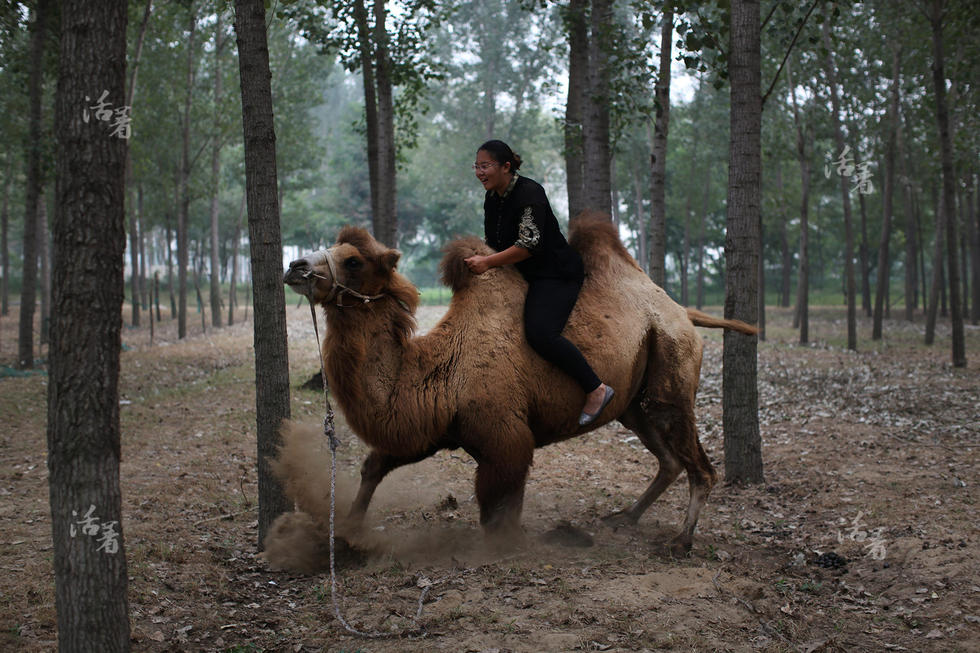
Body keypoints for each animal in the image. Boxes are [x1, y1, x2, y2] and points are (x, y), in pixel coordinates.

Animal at [284, 211, 756, 552]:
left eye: (353, 260)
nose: (295, 265)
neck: (440, 368)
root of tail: (680, 309)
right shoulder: (430, 427)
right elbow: (374, 465)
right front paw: (346, 532)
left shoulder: (505, 438)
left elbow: (497, 507)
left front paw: (515, 545)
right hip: (632, 402)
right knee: (668, 458)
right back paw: (625, 518)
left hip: (672, 369)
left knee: (699, 464)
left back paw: (681, 540)